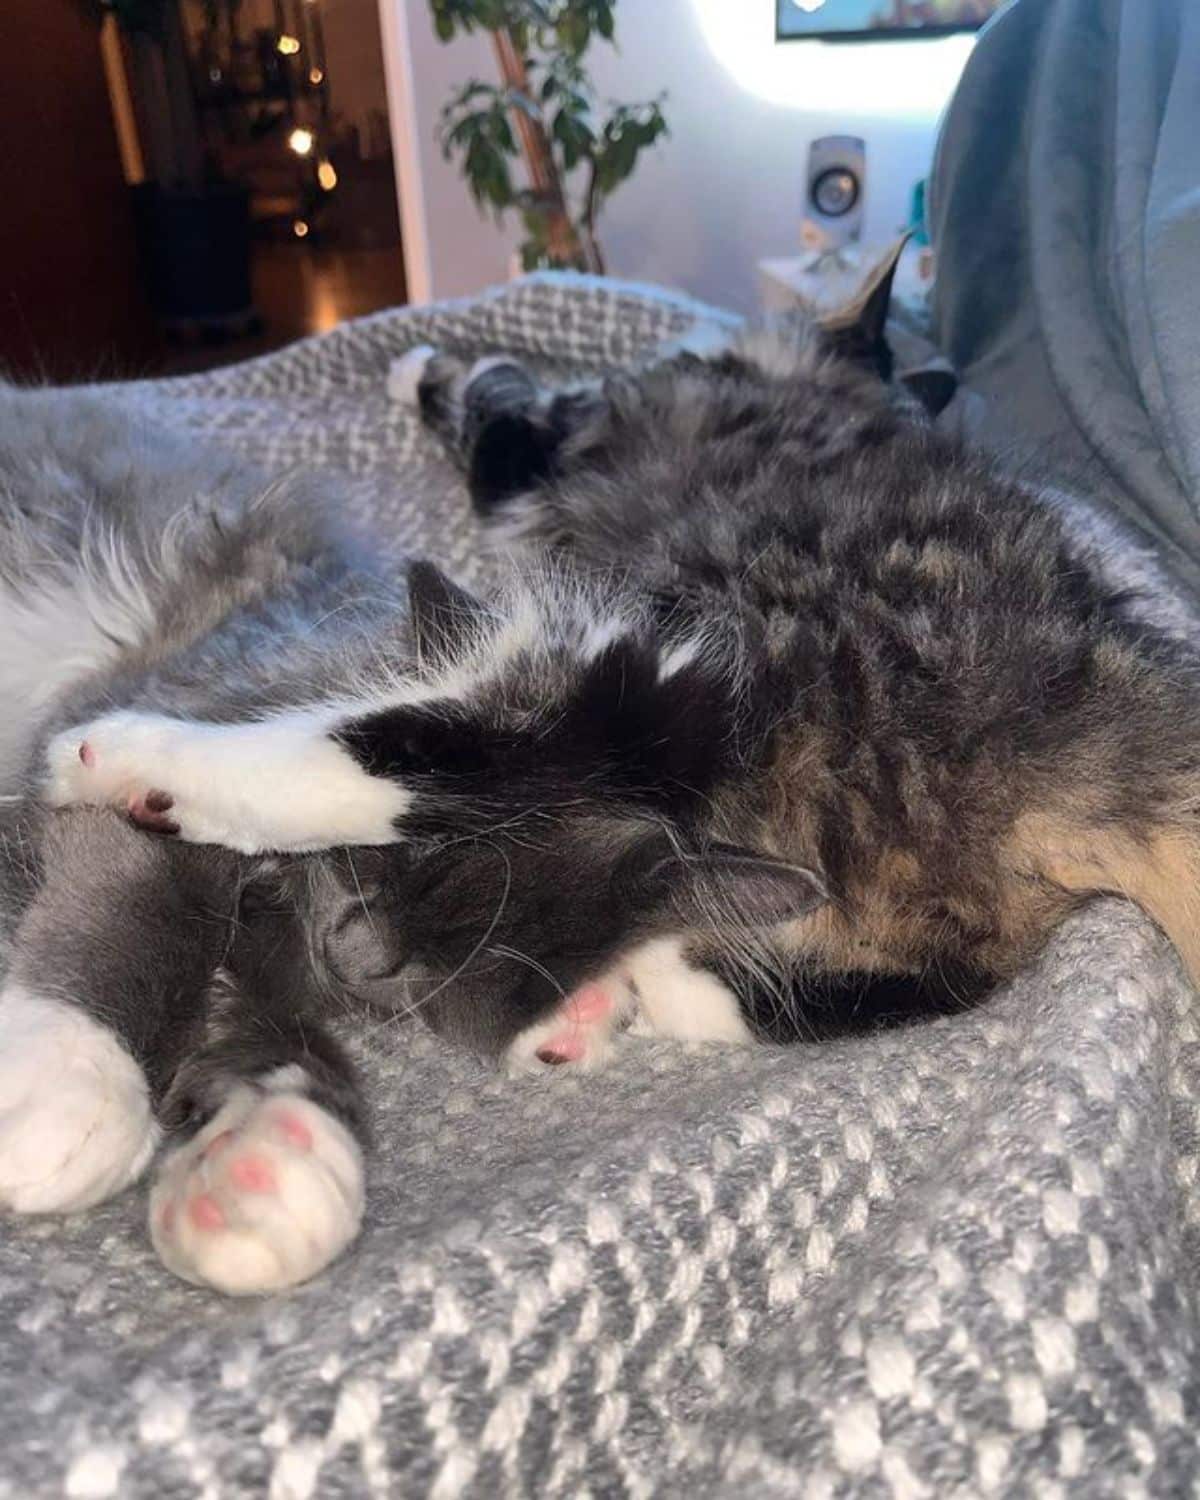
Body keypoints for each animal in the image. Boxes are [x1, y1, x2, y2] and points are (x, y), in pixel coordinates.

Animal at [7, 240, 1200, 1296]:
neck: (807, 376)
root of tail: (1097, 703)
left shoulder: (541, 440)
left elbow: (488, 394)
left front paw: (420, 361)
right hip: (942, 914)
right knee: (867, 981)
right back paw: (627, 978)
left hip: (675, 667)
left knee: (429, 761)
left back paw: (139, 758)